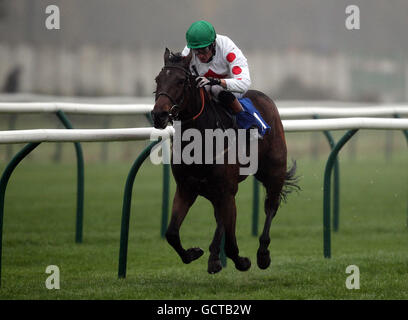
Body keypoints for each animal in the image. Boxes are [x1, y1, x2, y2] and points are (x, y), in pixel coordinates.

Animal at [151, 48, 298, 274]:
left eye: (181, 81)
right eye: (158, 79)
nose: (159, 115)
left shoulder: (227, 191)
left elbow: (228, 240)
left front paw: (240, 261)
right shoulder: (186, 188)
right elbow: (172, 234)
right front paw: (194, 253)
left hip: (274, 172)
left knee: (270, 207)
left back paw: (262, 254)